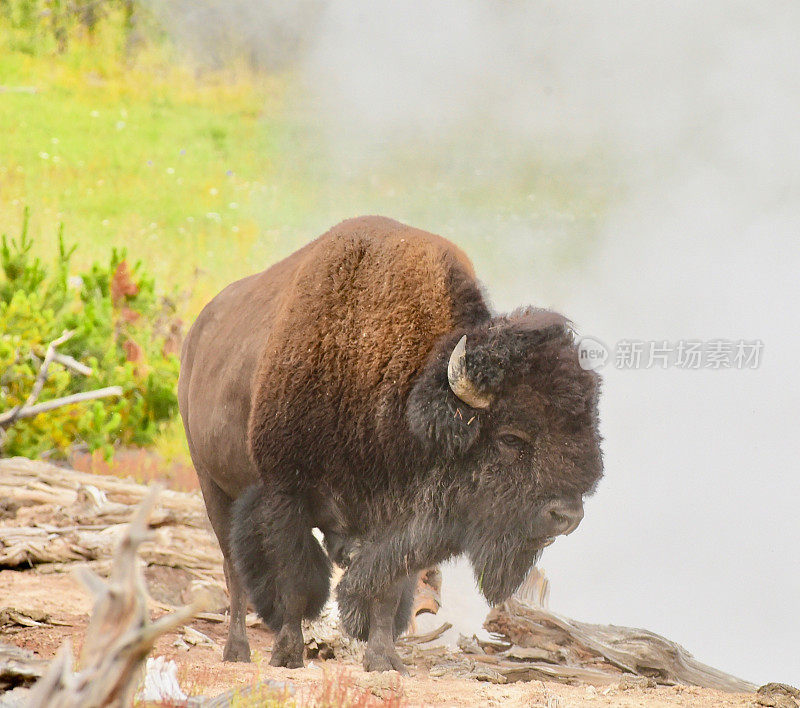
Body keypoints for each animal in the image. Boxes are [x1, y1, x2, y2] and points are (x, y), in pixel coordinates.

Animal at [177, 217, 600, 676]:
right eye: (510, 437)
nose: (567, 516)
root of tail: (194, 338)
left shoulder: (398, 522)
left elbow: (387, 589)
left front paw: (384, 660)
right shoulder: (284, 496)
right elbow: (295, 581)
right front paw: (287, 655)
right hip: (212, 485)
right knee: (233, 570)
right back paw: (237, 649)